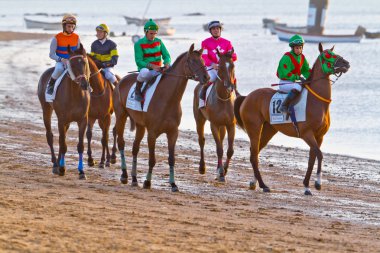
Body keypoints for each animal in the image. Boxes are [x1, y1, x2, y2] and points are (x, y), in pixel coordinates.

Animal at [37, 44, 92, 180]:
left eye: (84, 62)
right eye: (71, 64)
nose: (84, 84)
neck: (75, 94)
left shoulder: (82, 120)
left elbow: (80, 146)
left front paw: (81, 171)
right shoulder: (61, 120)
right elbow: (63, 144)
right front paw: (61, 168)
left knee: (62, 138)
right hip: (46, 109)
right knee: (50, 136)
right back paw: (56, 164)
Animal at [113, 44, 209, 192]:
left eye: (203, 61)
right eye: (192, 61)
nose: (207, 77)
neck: (167, 99)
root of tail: (121, 81)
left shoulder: (173, 132)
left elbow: (171, 159)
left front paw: (173, 184)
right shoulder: (152, 133)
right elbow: (152, 159)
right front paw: (147, 182)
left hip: (140, 125)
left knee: (135, 148)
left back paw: (134, 179)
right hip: (121, 116)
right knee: (121, 142)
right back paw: (124, 175)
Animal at [194, 48, 236, 182]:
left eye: (232, 65)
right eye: (220, 67)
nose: (229, 86)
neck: (223, 98)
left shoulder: (231, 125)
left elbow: (229, 150)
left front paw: (224, 170)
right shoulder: (214, 124)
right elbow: (219, 149)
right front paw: (222, 173)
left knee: (221, 141)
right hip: (199, 119)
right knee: (201, 140)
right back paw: (202, 167)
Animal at [235, 43, 350, 196]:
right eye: (328, 55)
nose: (346, 63)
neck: (317, 101)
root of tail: (247, 97)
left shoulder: (319, 136)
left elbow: (312, 159)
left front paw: (307, 186)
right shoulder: (307, 134)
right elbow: (319, 155)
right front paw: (317, 183)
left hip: (268, 130)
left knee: (256, 153)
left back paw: (254, 182)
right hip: (254, 129)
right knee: (254, 156)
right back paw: (263, 185)